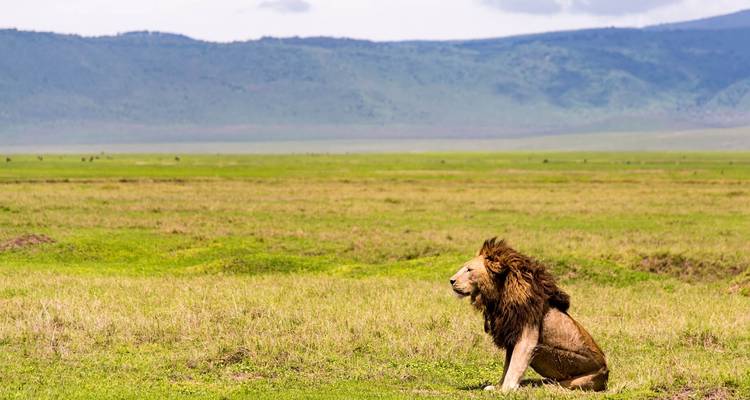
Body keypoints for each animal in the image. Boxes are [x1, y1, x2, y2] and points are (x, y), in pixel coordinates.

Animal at [450, 238, 609, 392]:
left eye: (469, 269)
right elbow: (507, 366)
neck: (499, 295)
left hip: (548, 354)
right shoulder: (511, 337)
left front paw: (505, 390)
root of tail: (606, 374)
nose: (451, 280)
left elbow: (515, 366)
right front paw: (499, 386)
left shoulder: (526, 337)